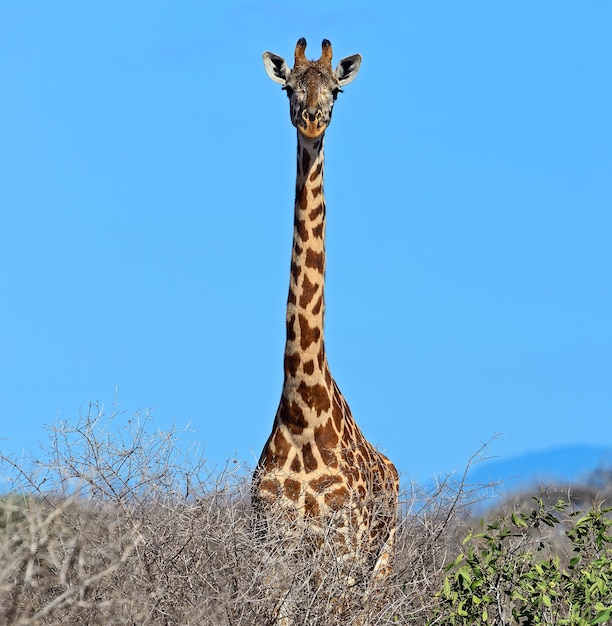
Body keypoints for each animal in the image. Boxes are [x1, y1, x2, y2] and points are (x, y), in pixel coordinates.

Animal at [251, 39, 400, 620]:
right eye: (290, 88)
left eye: (334, 89)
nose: (312, 119)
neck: (301, 408)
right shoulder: (271, 555)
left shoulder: (340, 556)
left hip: (378, 567)